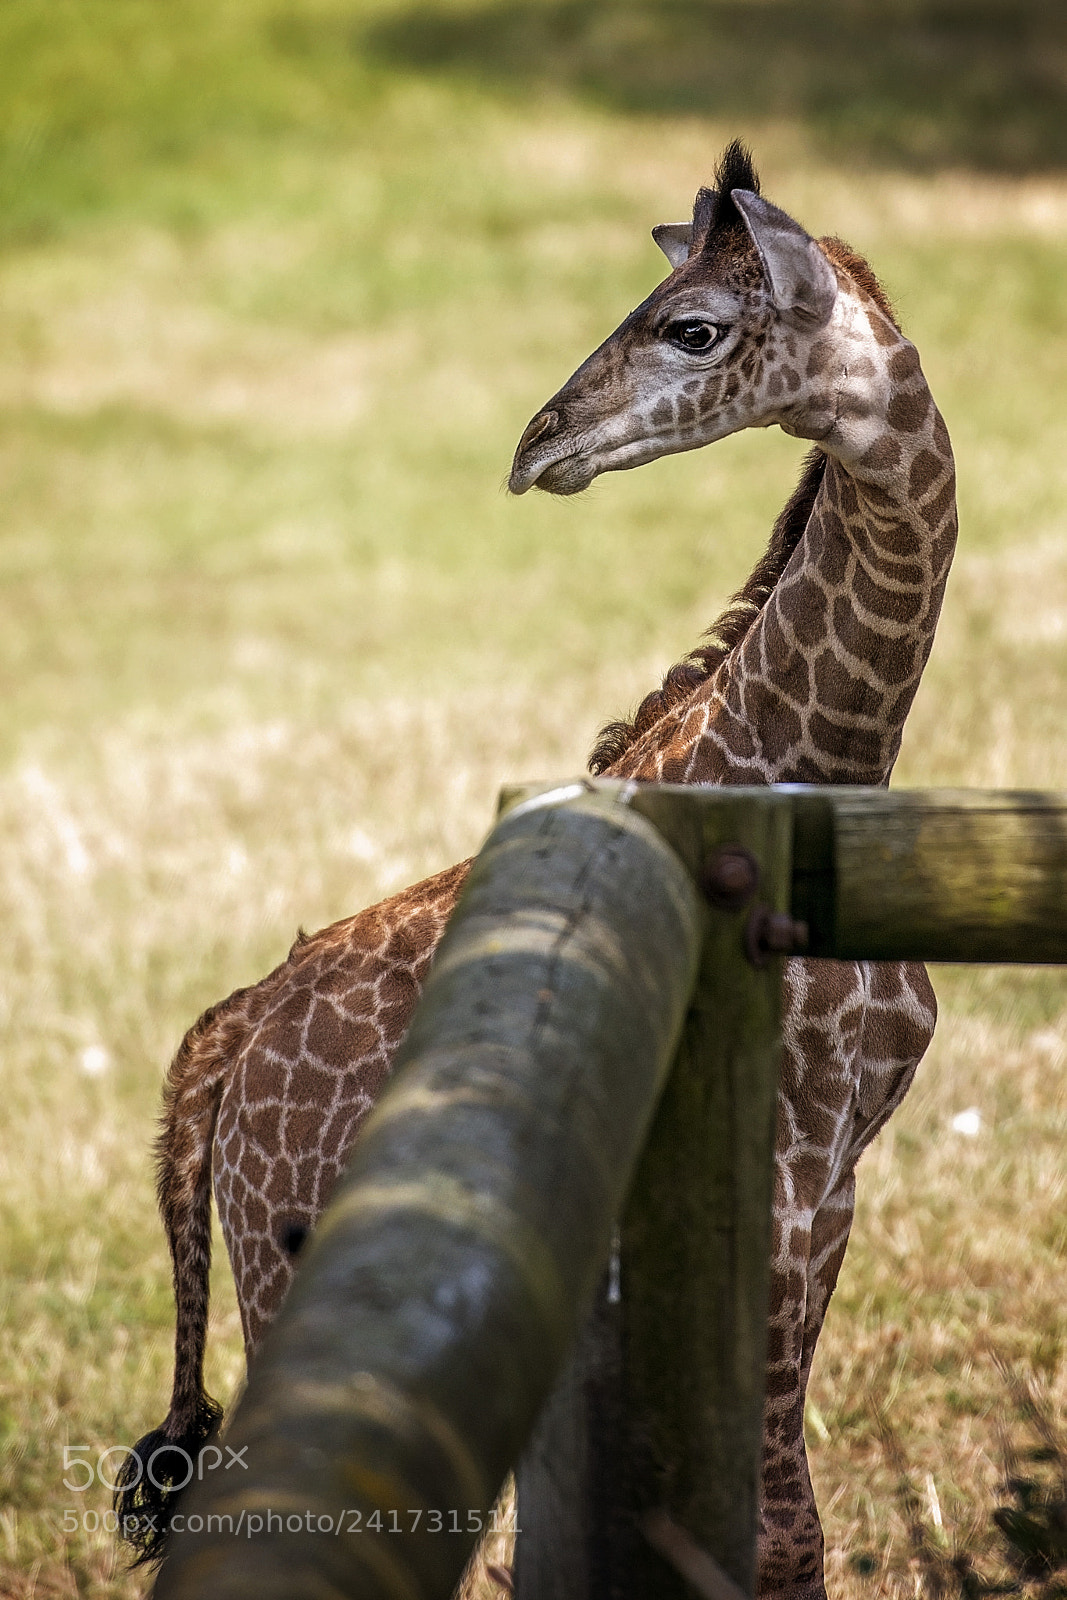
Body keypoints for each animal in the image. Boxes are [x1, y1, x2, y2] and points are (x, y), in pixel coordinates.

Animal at [117, 144, 956, 1600]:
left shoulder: (838, 1171)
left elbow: (753, 1524)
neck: (828, 761)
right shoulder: (780, 1167)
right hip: (299, 1272)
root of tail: (220, 1055)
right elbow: (773, 1531)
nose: (535, 443)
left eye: (690, 325)